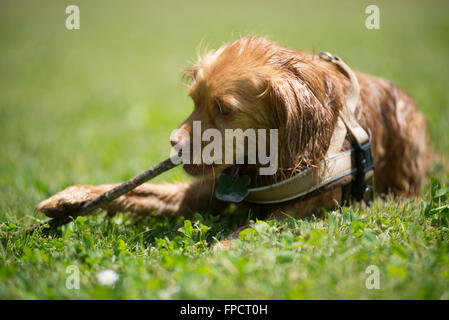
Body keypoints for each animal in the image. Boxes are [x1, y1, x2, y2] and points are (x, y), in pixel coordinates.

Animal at [34, 37, 428, 231]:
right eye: (193, 100)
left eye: (224, 109)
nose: (173, 143)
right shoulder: (200, 194)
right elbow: (135, 190)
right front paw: (71, 198)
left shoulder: (305, 207)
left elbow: (247, 232)